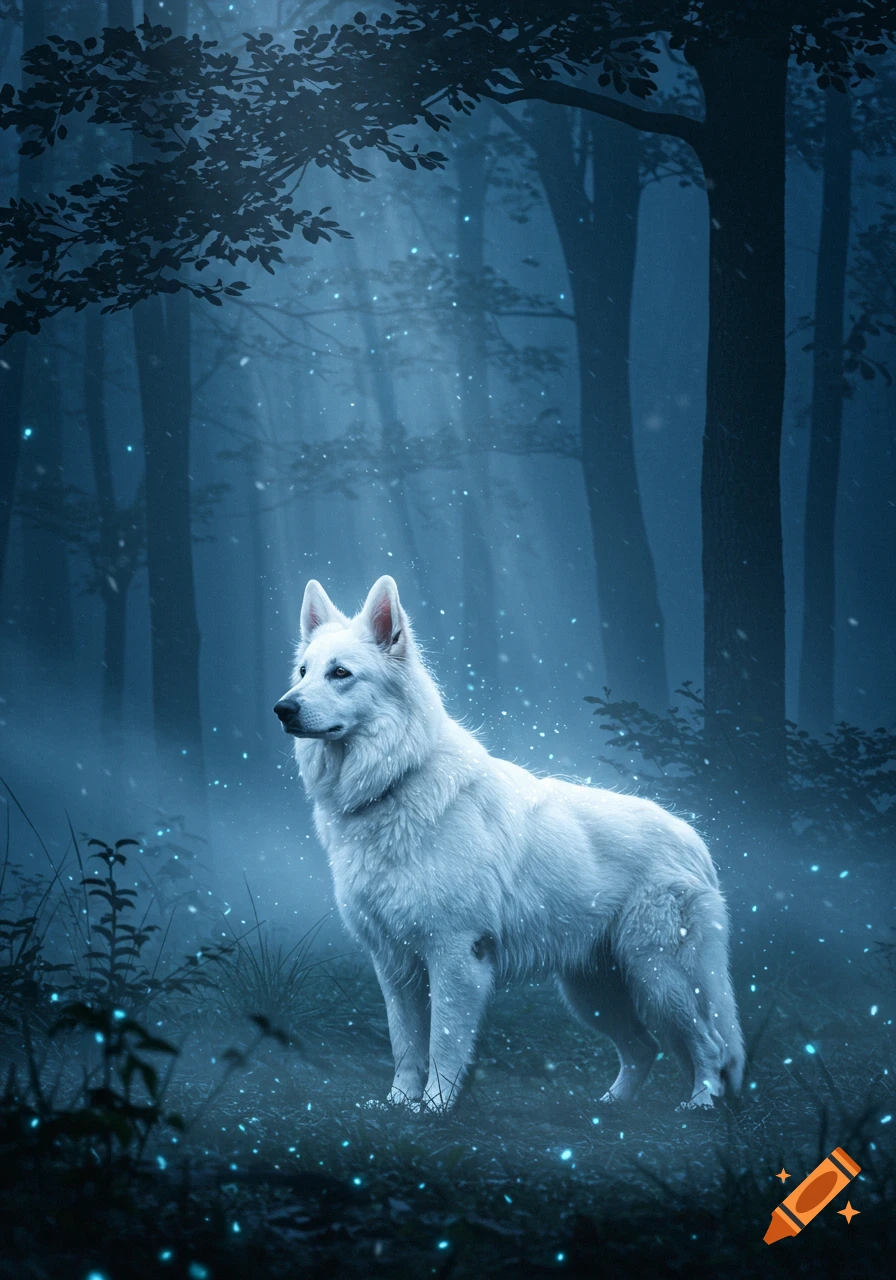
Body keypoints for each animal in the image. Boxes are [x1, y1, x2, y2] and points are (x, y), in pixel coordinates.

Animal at [274, 576, 745, 1113]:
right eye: (303, 672)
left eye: (341, 674)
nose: (282, 709)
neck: (395, 780)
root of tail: (694, 840)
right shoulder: (394, 966)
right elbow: (405, 1044)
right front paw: (397, 1104)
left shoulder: (455, 955)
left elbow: (443, 1043)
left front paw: (433, 1108)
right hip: (592, 993)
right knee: (643, 1048)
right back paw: (610, 1107)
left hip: (658, 977)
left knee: (708, 1045)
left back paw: (701, 1105)